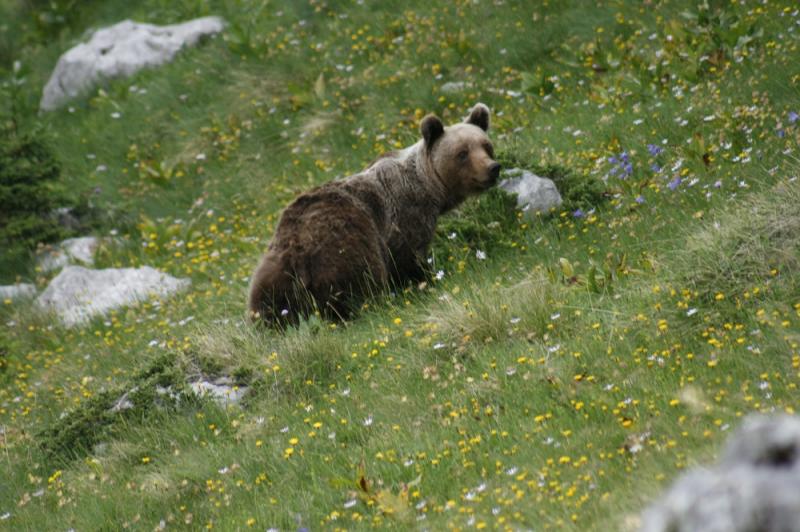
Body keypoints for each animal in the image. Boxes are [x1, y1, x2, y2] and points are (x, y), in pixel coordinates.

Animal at [248, 103, 501, 325]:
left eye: (486, 145)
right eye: (462, 153)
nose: (493, 168)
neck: (429, 189)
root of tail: (298, 253)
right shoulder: (404, 217)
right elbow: (408, 259)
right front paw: (425, 281)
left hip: (273, 269)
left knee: (266, 302)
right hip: (345, 246)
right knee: (360, 283)